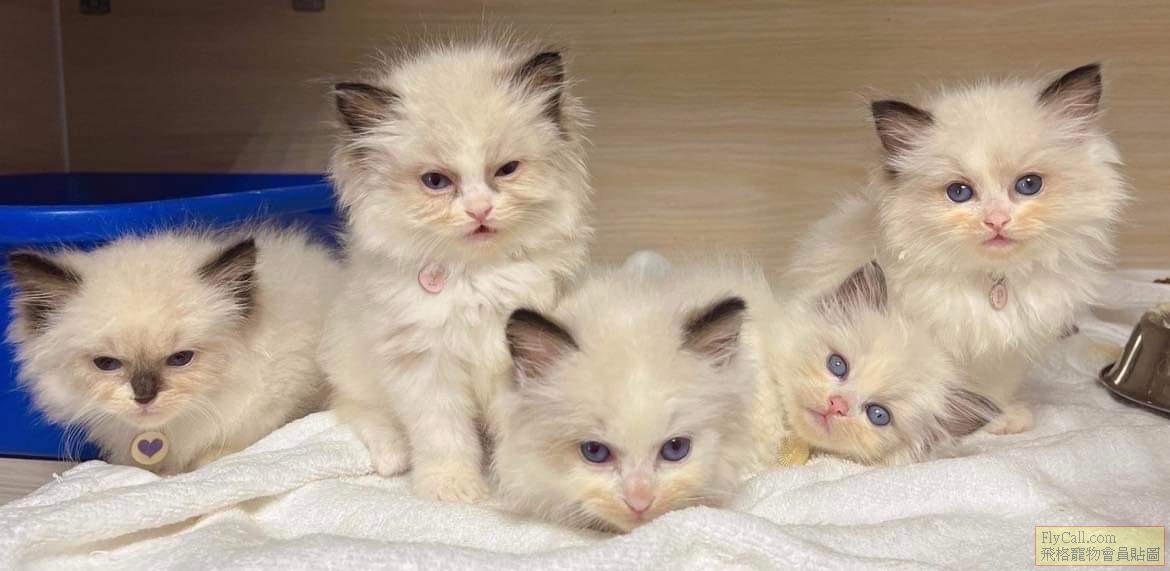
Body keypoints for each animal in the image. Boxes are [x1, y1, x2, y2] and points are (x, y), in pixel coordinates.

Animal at [320, 39, 592, 503]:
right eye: (435, 181)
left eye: (506, 170)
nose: (480, 210)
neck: (475, 280)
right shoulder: (425, 367)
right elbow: (443, 438)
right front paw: (453, 491)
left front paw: (514, 482)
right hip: (355, 366)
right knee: (361, 411)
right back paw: (394, 459)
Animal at [784, 63, 1128, 435]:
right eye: (959, 192)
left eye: (1029, 185)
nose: (996, 221)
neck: (994, 284)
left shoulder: (1004, 355)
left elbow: (992, 391)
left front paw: (1004, 419)